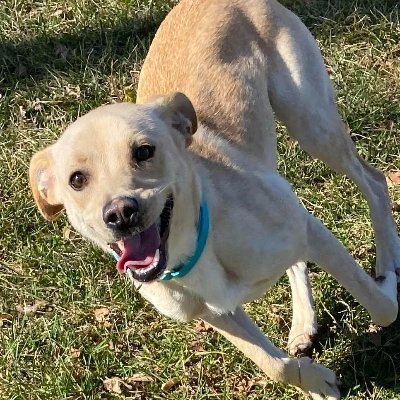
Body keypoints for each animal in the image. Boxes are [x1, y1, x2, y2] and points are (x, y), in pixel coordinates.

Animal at [29, 0, 398, 400]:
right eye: (77, 179)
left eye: (144, 151)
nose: (120, 212)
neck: (193, 247)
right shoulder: (217, 313)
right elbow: (274, 365)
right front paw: (317, 381)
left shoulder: (311, 234)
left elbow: (383, 308)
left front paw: (387, 287)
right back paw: (303, 323)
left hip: (312, 123)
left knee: (374, 181)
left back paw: (386, 261)